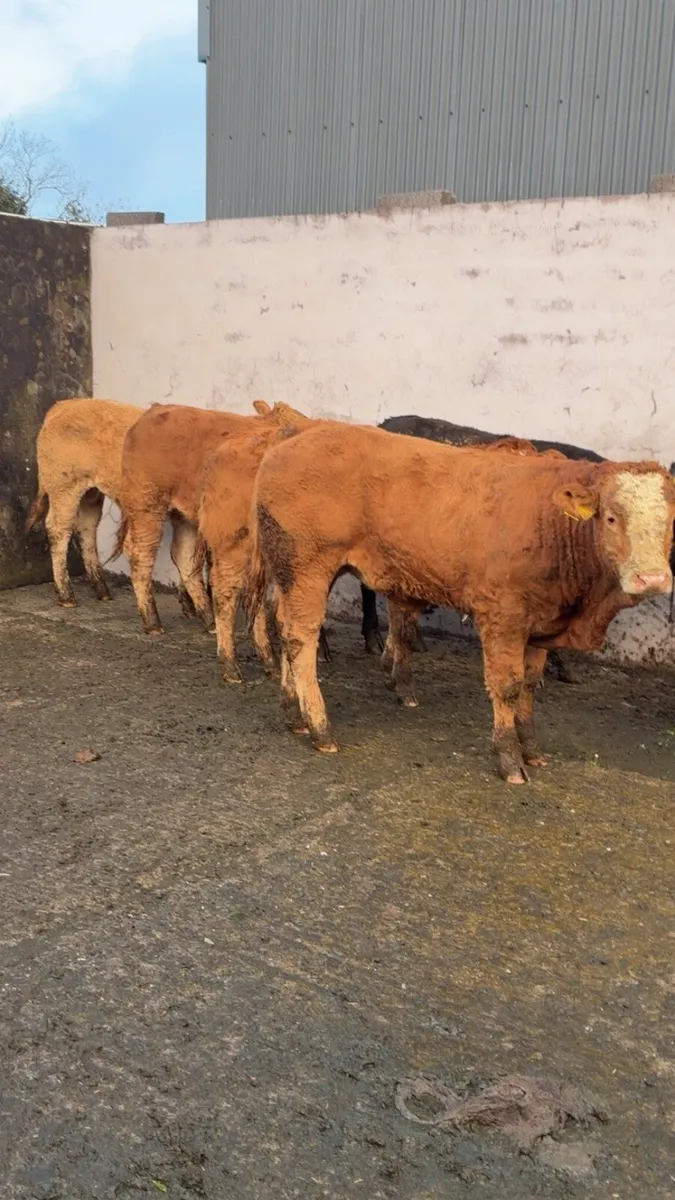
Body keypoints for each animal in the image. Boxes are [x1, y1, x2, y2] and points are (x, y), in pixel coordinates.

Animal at [25, 397, 147, 607]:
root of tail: (65, 404)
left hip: (91, 493)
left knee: (86, 528)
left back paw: (102, 590)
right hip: (63, 487)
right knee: (58, 528)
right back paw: (66, 596)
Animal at [111, 399, 307, 635]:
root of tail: (156, 408)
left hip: (183, 516)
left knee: (183, 556)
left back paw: (208, 618)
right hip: (147, 504)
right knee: (141, 553)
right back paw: (153, 622)